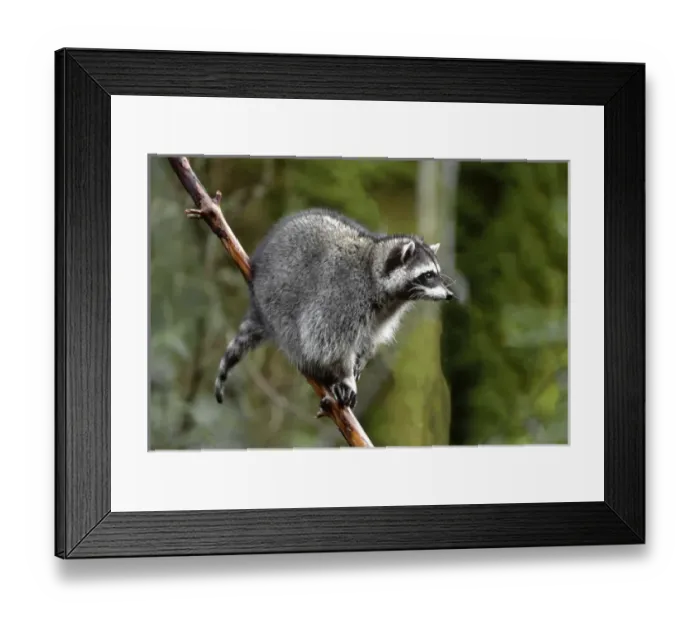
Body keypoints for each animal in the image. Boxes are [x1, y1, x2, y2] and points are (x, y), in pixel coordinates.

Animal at [214, 208, 454, 413]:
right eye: (428, 275)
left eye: (436, 273)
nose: (450, 295)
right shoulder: (343, 297)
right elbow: (329, 343)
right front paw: (345, 375)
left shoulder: (384, 313)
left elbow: (370, 337)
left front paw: (361, 359)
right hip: (276, 303)